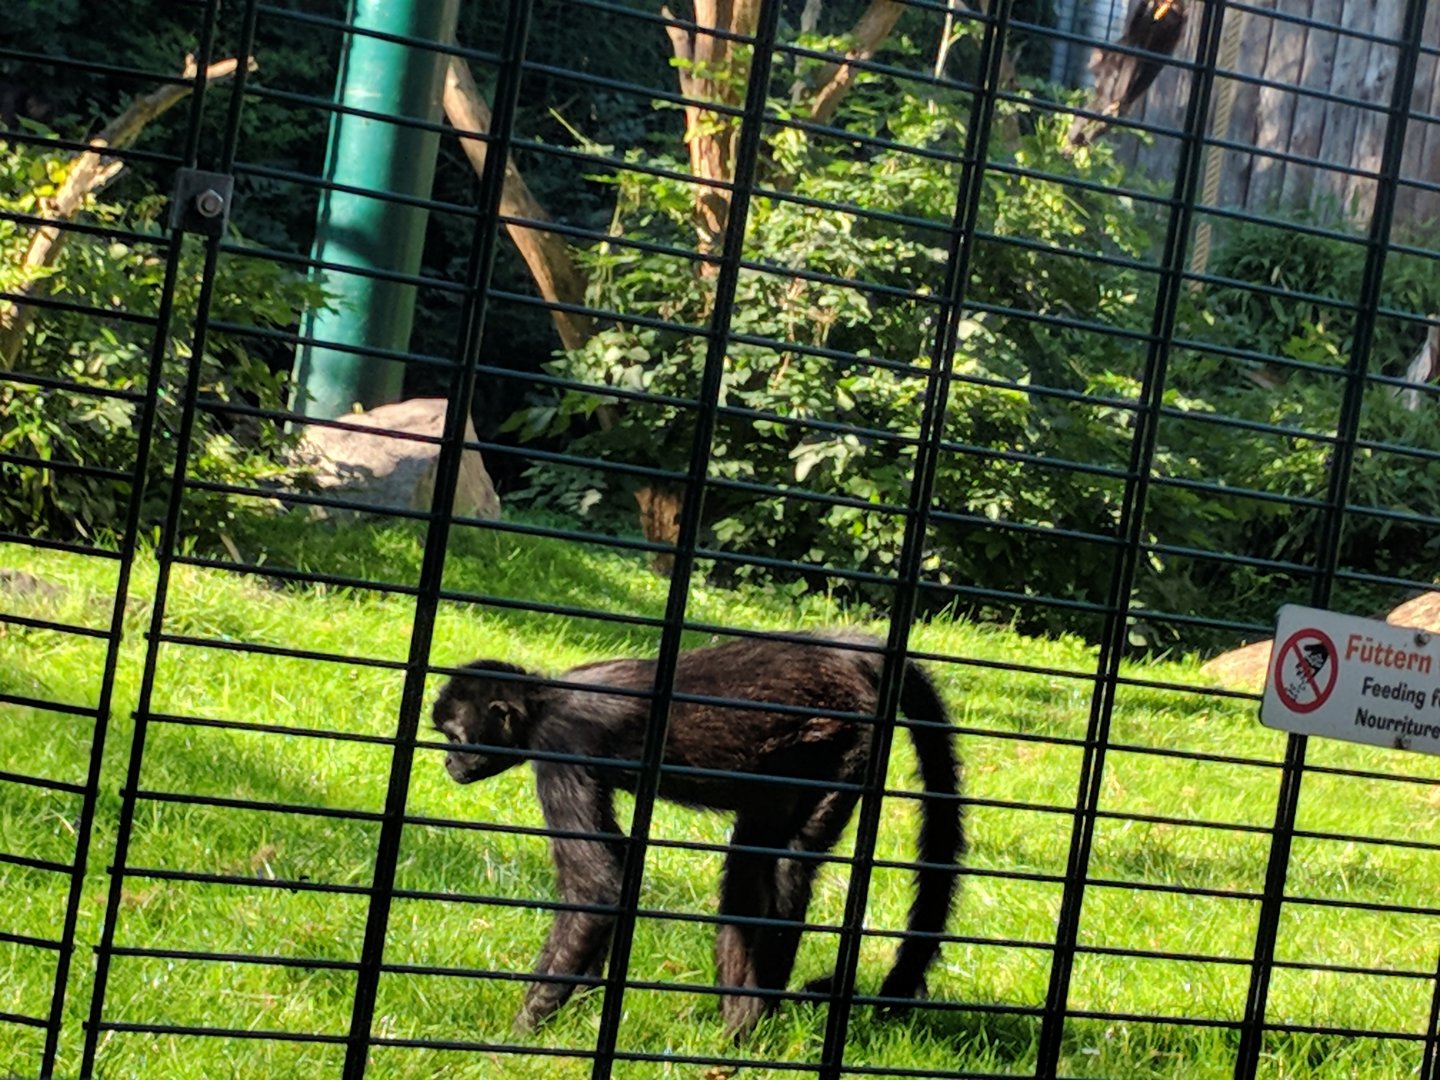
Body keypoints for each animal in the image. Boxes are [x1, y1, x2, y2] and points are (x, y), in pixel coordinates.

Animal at [430, 630, 963, 1040]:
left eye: (454, 738)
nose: (449, 762)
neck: (548, 699)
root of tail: (843, 651)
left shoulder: (559, 742)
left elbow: (596, 887)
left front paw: (522, 1029)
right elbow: (618, 867)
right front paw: (579, 998)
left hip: (844, 741)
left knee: (791, 859)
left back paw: (749, 1026)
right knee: (750, 865)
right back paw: (737, 1022)